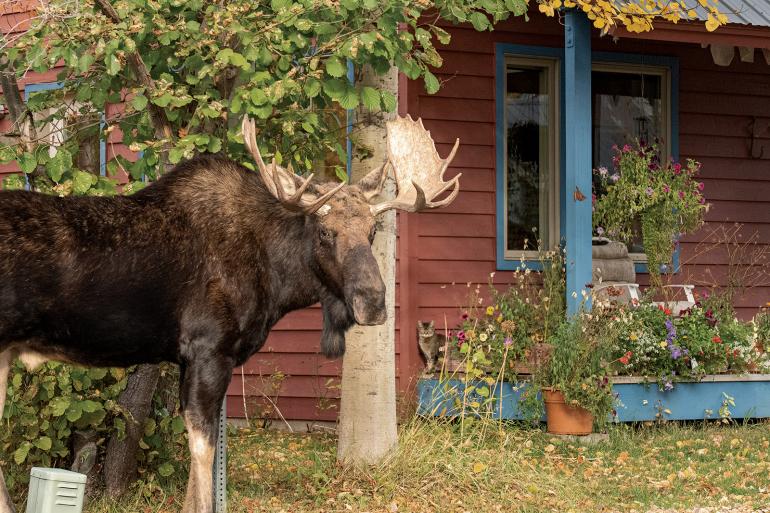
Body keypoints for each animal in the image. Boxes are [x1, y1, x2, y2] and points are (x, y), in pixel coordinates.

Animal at [0, 116, 456, 512]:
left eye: (373, 231)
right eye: (325, 232)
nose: (374, 301)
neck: (277, 279)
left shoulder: (195, 360)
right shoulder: (209, 349)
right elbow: (204, 456)